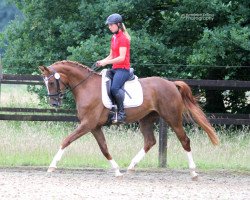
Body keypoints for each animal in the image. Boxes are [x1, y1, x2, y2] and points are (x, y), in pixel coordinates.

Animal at [39, 60, 219, 179]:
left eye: (52, 82)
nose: (54, 103)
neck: (86, 86)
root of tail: (171, 84)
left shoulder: (87, 124)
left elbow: (66, 140)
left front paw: (52, 166)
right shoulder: (94, 126)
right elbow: (104, 148)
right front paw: (117, 170)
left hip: (172, 118)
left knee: (184, 140)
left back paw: (193, 172)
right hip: (146, 119)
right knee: (150, 141)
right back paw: (131, 167)